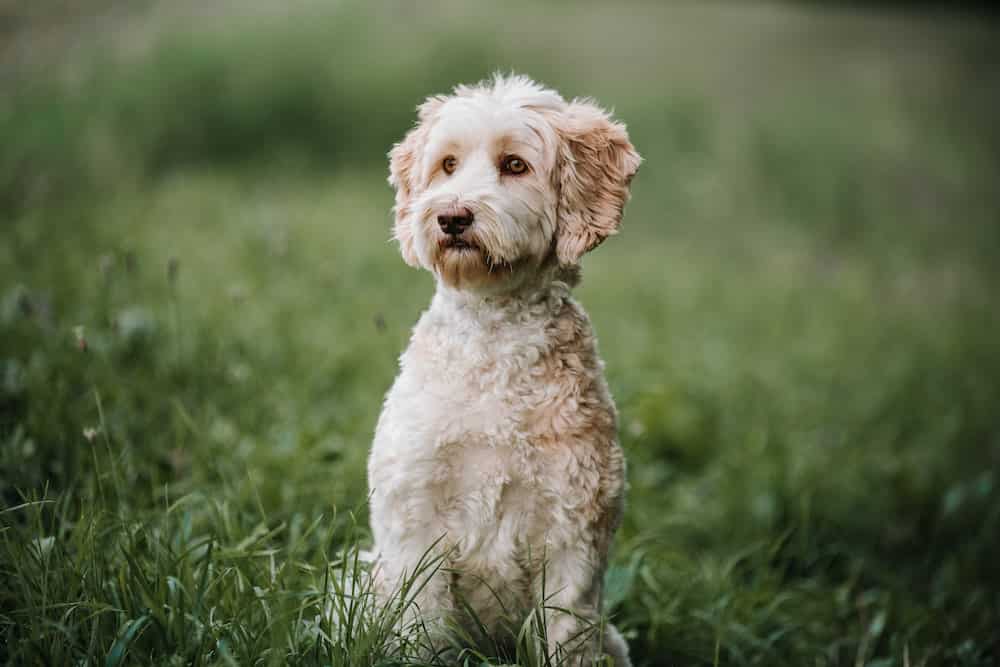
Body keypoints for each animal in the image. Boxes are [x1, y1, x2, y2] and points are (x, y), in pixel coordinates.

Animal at [368, 75, 640, 664]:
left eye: (515, 165)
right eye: (447, 164)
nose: (451, 217)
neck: (495, 341)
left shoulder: (573, 533)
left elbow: (564, 632)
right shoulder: (415, 517)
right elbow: (420, 622)